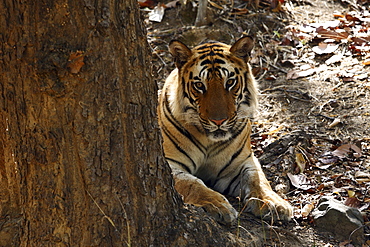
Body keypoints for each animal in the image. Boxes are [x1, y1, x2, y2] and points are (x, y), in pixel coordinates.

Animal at [158, 36, 294, 224]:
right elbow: (193, 183)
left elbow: (257, 179)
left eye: (229, 82)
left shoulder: (241, 162)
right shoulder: (171, 164)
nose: (218, 121)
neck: (208, 140)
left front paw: (273, 202)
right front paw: (218, 205)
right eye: (199, 85)